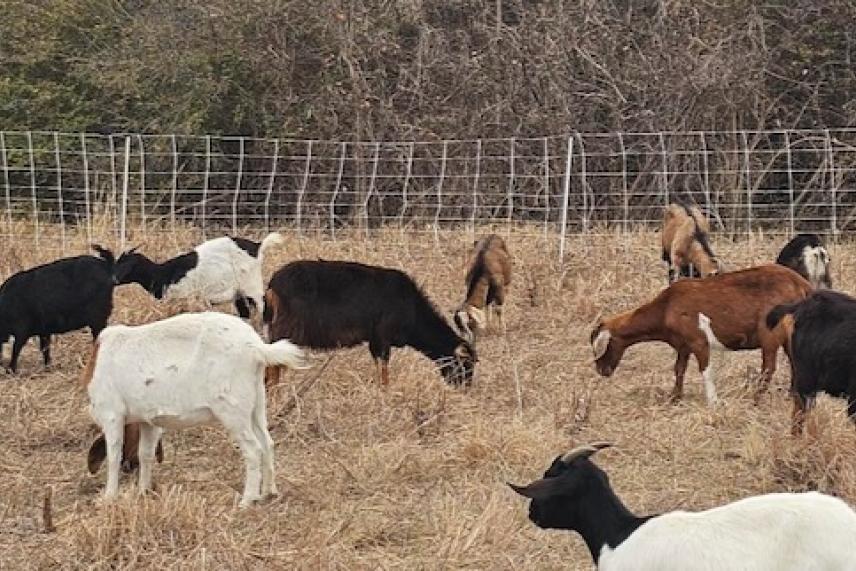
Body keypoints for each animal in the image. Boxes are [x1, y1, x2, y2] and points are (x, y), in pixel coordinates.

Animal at [83, 311, 308, 507]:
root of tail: (257, 348)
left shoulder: (111, 414)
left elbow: (114, 455)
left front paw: (108, 497)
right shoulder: (147, 420)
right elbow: (145, 454)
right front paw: (143, 492)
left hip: (232, 407)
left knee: (253, 449)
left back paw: (247, 500)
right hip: (256, 401)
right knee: (267, 442)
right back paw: (269, 492)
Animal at [115, 233, 284, 318]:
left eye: (126, 265)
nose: (113, 279)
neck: (164, 273)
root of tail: (257, 246)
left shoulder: (187, 299)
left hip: (252, 287)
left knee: (262, 308)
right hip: (239, 294)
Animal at [263, 260, 477, 386]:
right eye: (465, 364)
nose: (465, 388)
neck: (412, 307)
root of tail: (272, 286)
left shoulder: (374, 340)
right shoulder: (383, 336)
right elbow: (384, 373)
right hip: (286, 331)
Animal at [590, 265, 811, 405]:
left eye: (604, 347)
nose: (601, 370)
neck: (666, 308)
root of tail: (801, 284)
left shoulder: (698, 341)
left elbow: (706, 370)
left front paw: (713, 402)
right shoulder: (683, 345)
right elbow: (679, 369)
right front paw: (674, 397)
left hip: (770, 333)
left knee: (768, 368)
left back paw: (756, 400)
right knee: (794, 362)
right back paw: (793, 395)